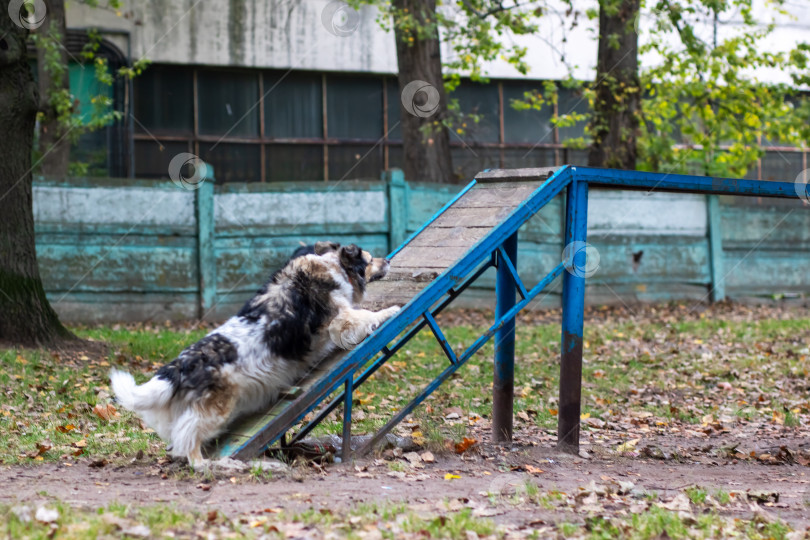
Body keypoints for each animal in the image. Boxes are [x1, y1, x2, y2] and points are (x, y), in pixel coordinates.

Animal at [109, 243, 400, 466]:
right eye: (369, 259)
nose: (387, 260)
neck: (332, 265)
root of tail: (181, 365)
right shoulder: (341, 319)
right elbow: (365, 315)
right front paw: (391, 311)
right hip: (214, 410)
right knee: (187, 437)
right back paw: (205, 464)